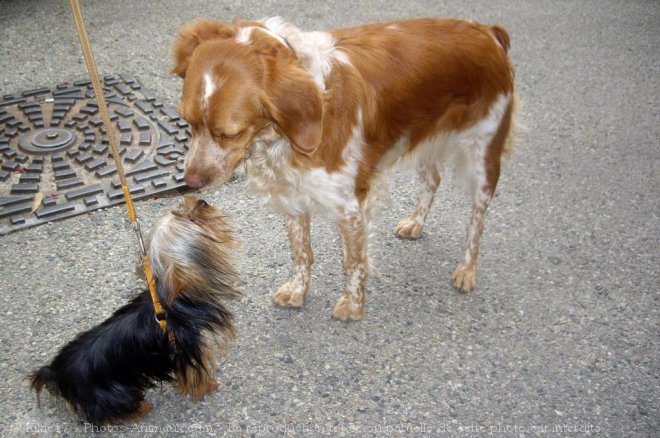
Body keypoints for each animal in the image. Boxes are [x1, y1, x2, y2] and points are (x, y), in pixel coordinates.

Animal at [29, 195, 240, 424]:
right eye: (189, 218)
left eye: (180, 209)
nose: (201, 200)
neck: (178, 298)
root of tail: (56, 373)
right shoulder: (187, 350)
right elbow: (194, 375)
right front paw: (207, 387)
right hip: (112, 394)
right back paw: (142, 409)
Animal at [173, 17, 520, 320]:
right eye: (188, 122)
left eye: (229, 134)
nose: (190, 181)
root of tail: (488, 32)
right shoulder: (292, 196)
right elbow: (302, 253)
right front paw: (298, 291)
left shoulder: (350, 206)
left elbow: (353, 262)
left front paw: (353, 306)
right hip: (423, 137)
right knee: (433, 179)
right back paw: (415, 224)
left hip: (483, 155)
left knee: (477, 220)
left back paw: (467, 270)